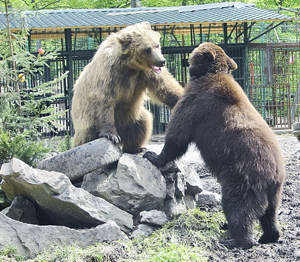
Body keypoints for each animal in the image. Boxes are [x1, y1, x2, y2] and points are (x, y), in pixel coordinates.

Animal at [71, 23, 183, 154]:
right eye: (147, 49)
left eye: (157, 45)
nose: (162, 61)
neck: (130, 66)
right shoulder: (110, 73)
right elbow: (104, 100)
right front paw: (111, 135)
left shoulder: (145, 73)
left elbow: (165, 87)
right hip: (87, 124)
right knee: (87, 137)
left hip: (132, 117)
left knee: (143, 122)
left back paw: (136, 147)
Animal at [144, 42, 284, 248]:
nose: (185, 59)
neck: (207, 73)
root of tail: (274, 174)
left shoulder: (196, 103)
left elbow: (178, 136)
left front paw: (153, 156)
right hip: (274, 190)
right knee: (270, 213)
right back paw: (269, 236)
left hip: (242, 176)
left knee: (239, 207)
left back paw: (238, 239)